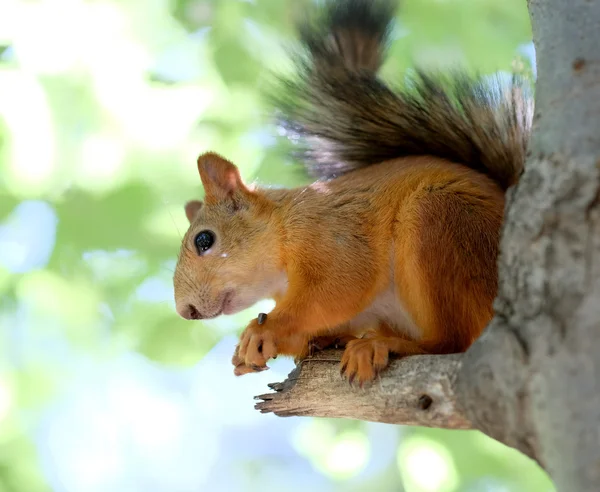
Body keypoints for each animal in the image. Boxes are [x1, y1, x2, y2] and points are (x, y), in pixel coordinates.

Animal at [171, 0, 532, 384]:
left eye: (204, 240)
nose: (186, 310)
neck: (282, 233)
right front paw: (257, 350)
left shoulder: (332, 232)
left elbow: (339, 288)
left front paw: (265, 330)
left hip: (440, 222)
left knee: (452, 341)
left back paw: (383, 345)